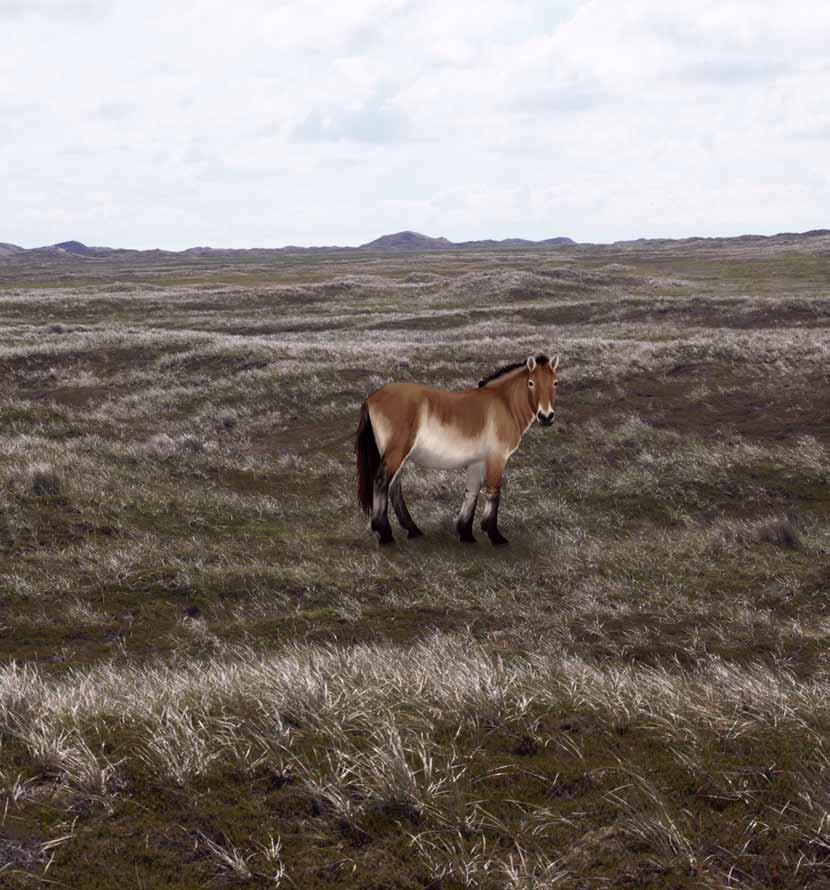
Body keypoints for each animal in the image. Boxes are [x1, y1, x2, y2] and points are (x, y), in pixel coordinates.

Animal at [354, 350, 564, 544]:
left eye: (555, 383)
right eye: (531, 383)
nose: (546, 417)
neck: (504, 405)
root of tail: (371, 397)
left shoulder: (477, 462)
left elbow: (471, 493)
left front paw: (466, 533)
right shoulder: (496, 458)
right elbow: (493, 491)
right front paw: (495, 536)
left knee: (394, 487)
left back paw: (413, 530)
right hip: (396, 452)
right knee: (382, 482)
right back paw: (385, 533)